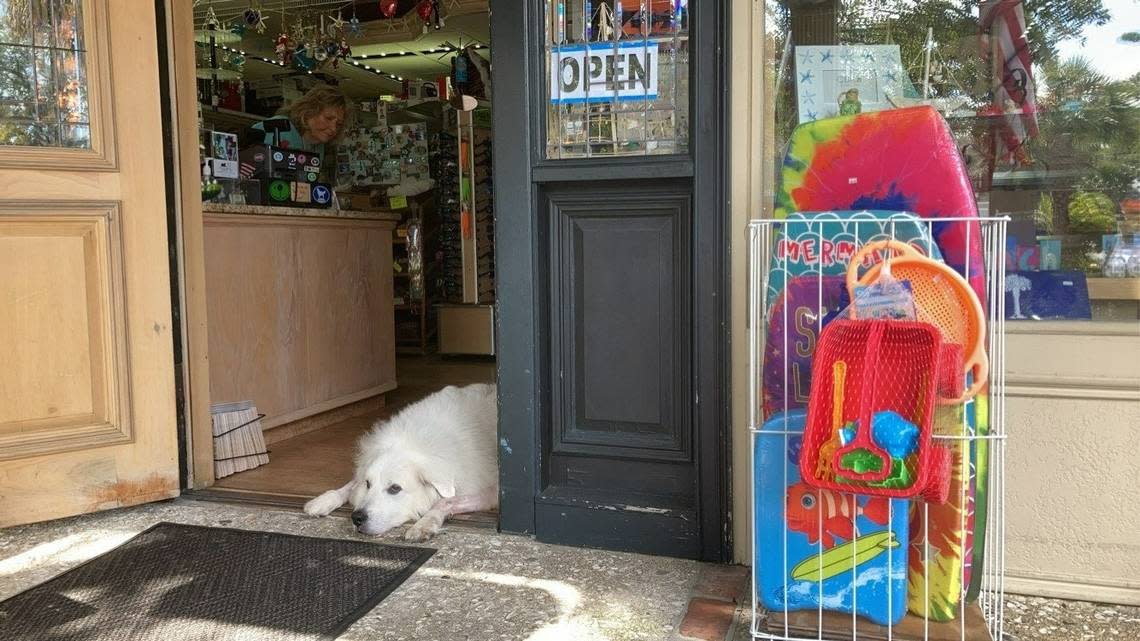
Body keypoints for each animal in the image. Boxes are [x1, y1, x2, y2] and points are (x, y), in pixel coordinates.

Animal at [303, 380, 499, 540]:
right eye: (368, 484)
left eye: (395, 488)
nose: (356, 518)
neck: (417, 443)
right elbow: (352, 484)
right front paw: (323, 500)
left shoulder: (489, 493)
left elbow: (445, 501)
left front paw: (424, 524)